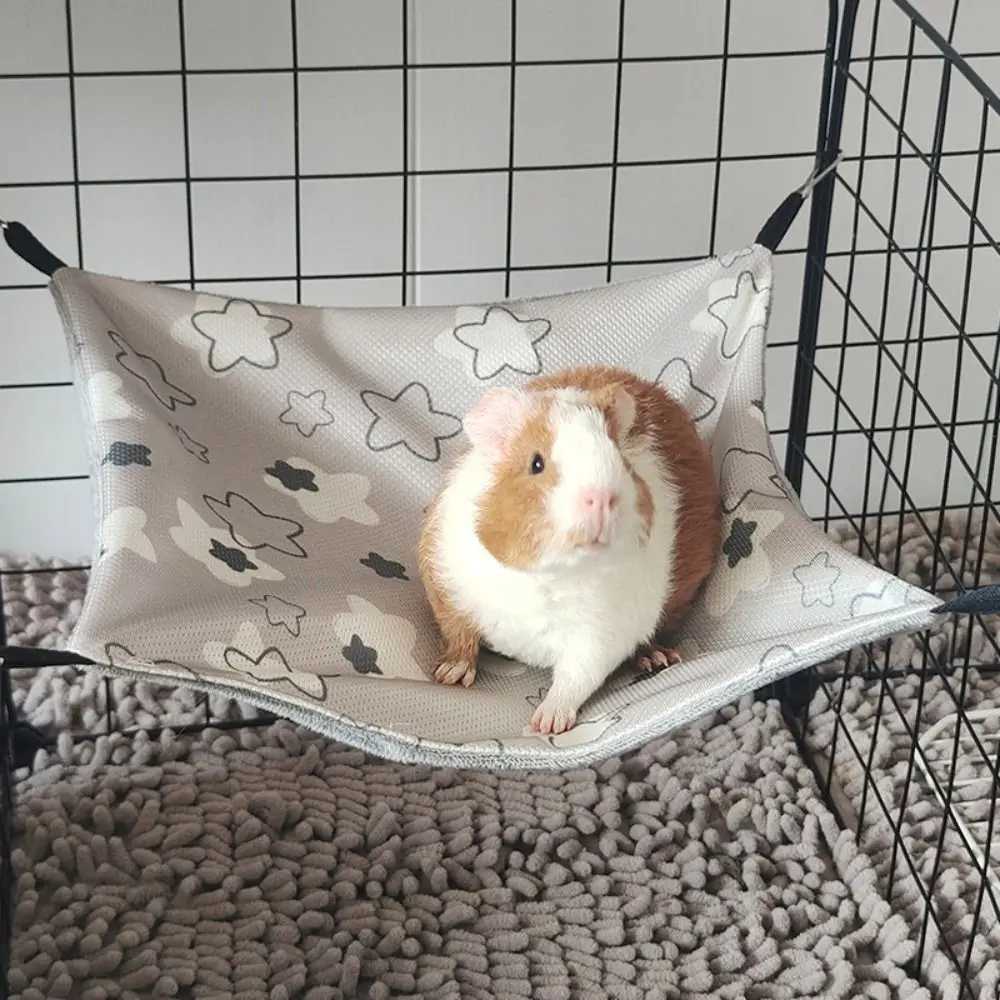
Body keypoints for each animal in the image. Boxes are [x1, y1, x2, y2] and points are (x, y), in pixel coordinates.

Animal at [418, 364, 721, 735]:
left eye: (621, 460)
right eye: (536, 463)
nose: (603, 497)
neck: (548, 575)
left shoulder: (599, 638)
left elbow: (573, 681)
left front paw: (545, 724)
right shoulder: (447, 584)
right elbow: (458, 635)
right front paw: (449, 676)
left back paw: (658, 659)